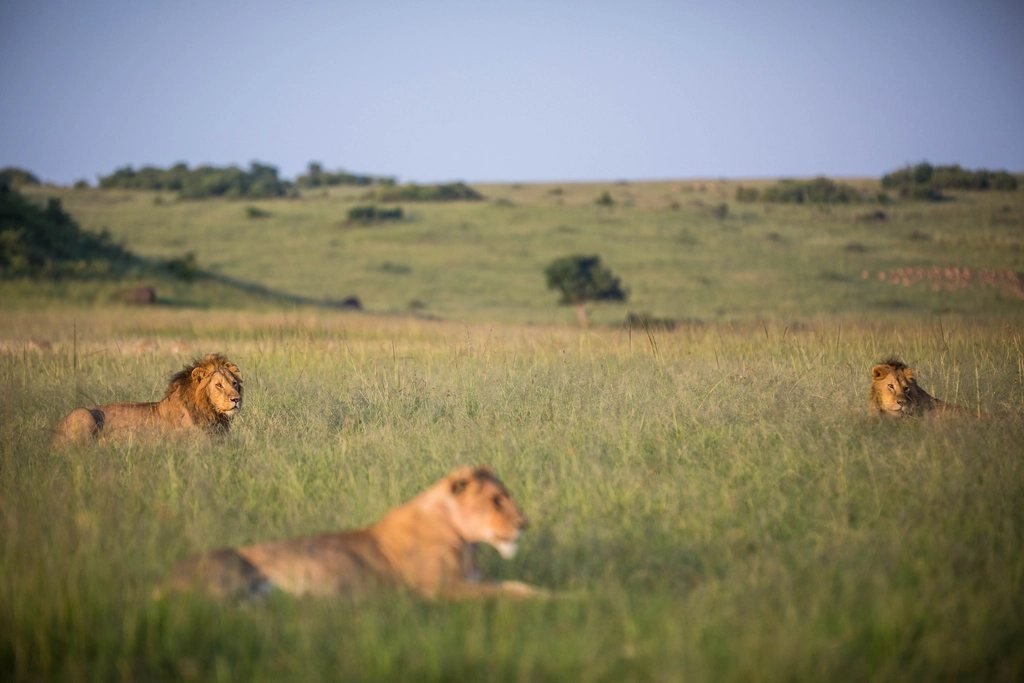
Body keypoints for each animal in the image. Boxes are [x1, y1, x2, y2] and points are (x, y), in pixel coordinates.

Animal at [159, 466, 547, 601]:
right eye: (497, 500)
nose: (524, 524)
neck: (468, 544)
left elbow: (517, 587)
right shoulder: (440, 590)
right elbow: (511, 596)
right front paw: (561, 603)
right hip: (226, 576)